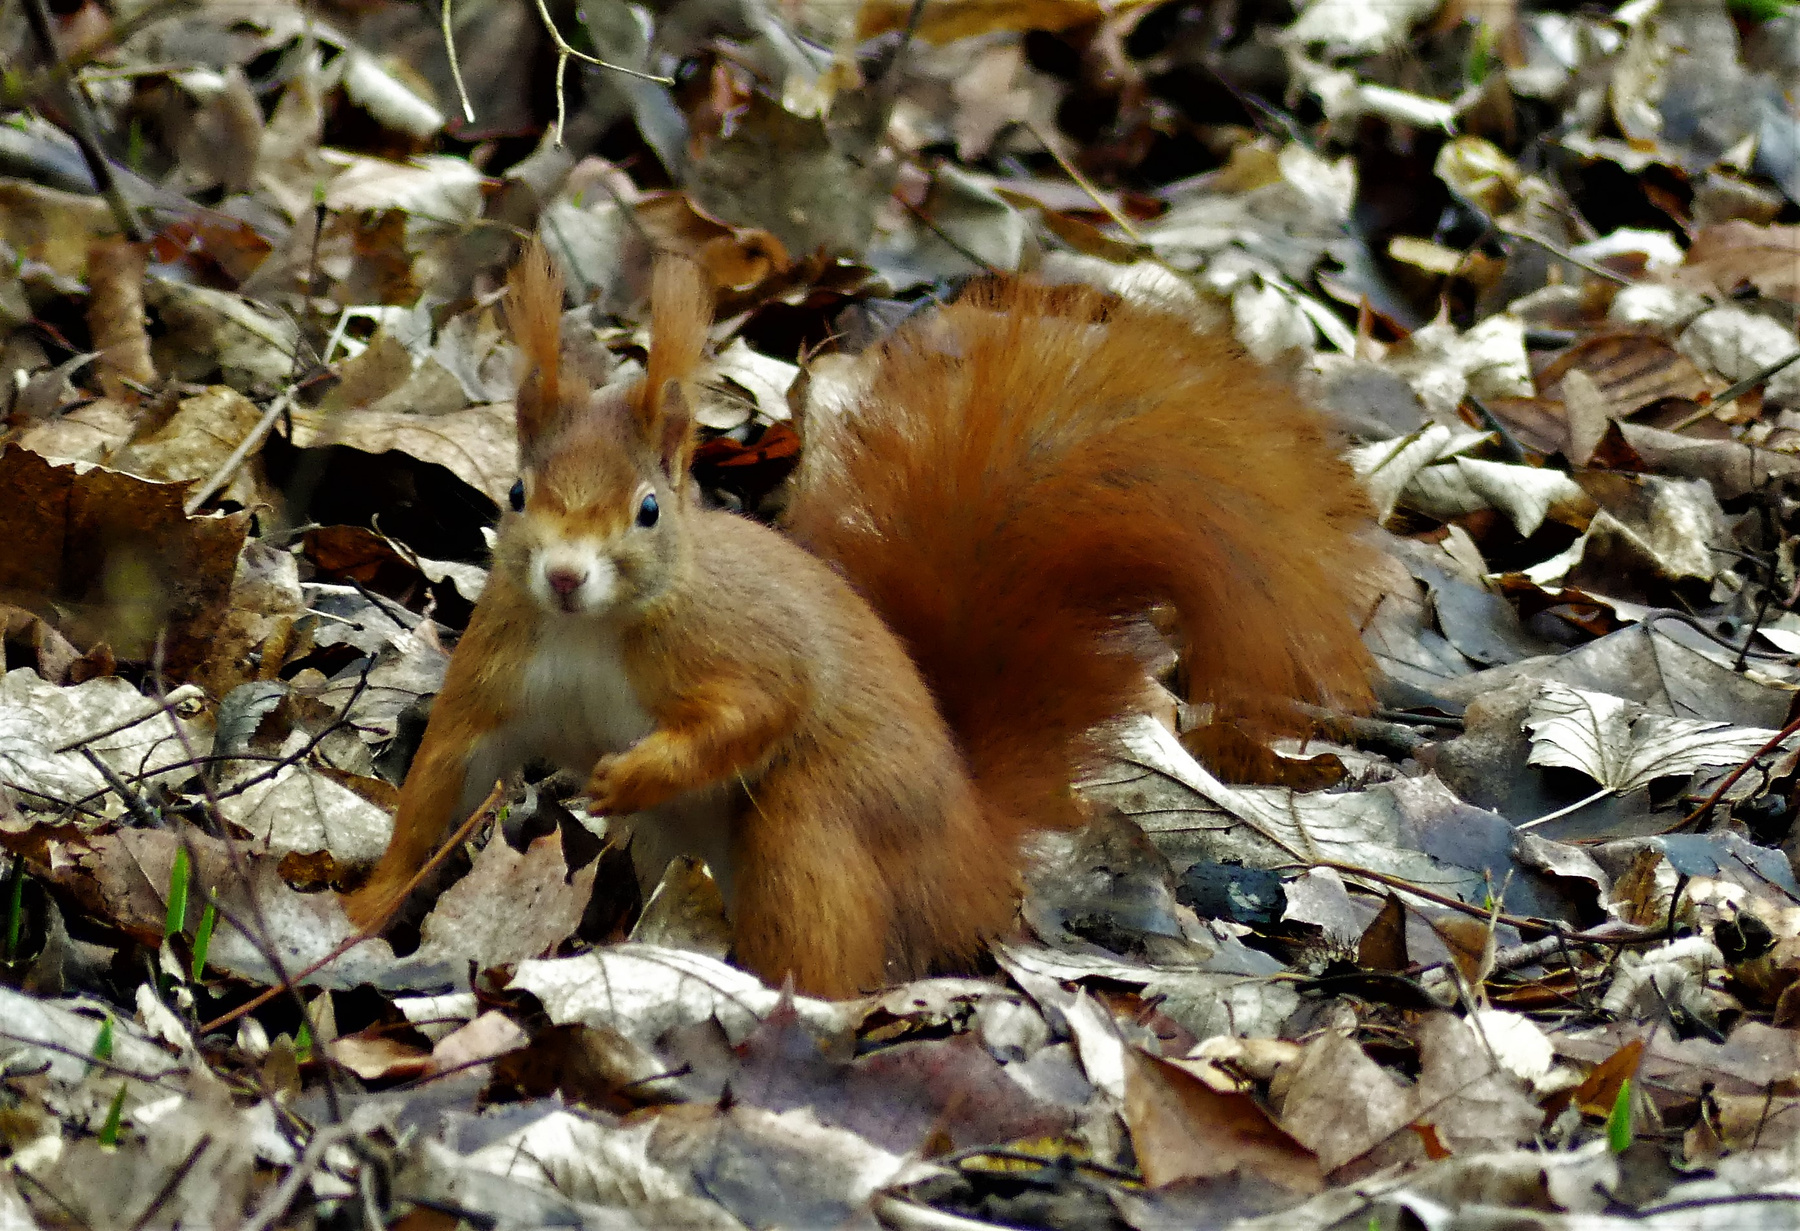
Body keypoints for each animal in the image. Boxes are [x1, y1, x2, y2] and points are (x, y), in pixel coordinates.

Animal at [341, 240, 1376, 998]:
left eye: (649, 509)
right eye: (517, 493)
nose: (562, 576)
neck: (591, 631)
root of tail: (973, 847)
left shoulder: (734, 642)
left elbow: (761, 707)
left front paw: (634, 773)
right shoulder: (498, 671)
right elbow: (440, 783)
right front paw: (366, 907)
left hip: (822, 819)